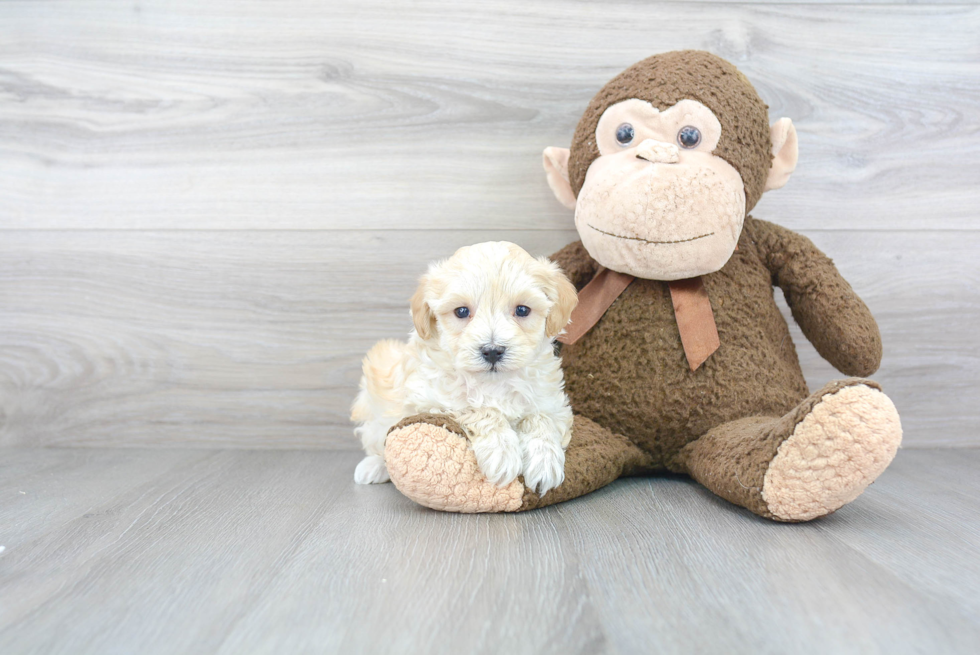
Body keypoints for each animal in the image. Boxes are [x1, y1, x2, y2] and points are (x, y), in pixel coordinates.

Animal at [352, 243, 580, 494]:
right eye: (461, 311)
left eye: (522, 310)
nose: (492, 350)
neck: (494, 383)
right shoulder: (429, 400)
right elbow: (477, 408)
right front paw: (502, 452)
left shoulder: (552, 403)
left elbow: (540, 418)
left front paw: (544, 461)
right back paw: (372, 467)